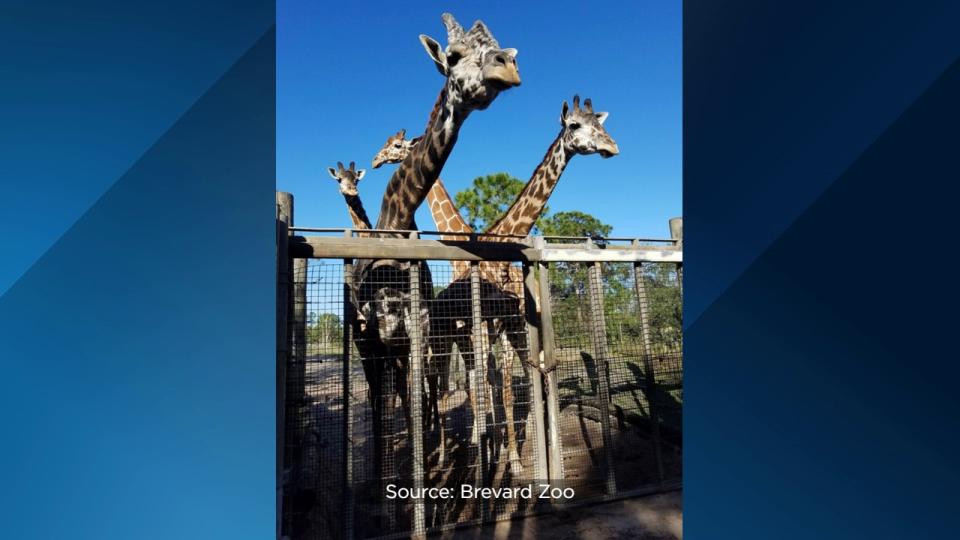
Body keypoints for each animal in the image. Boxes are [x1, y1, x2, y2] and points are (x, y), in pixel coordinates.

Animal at [350, 12, 516, 486]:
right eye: (453, 56)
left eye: (499, 46)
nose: (506, 68)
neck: (396, 221)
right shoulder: (382, 328)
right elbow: (397, 400)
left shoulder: (419, 326)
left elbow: (420, 398)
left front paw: (427, 469)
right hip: (366, 340)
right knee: (379, 396)